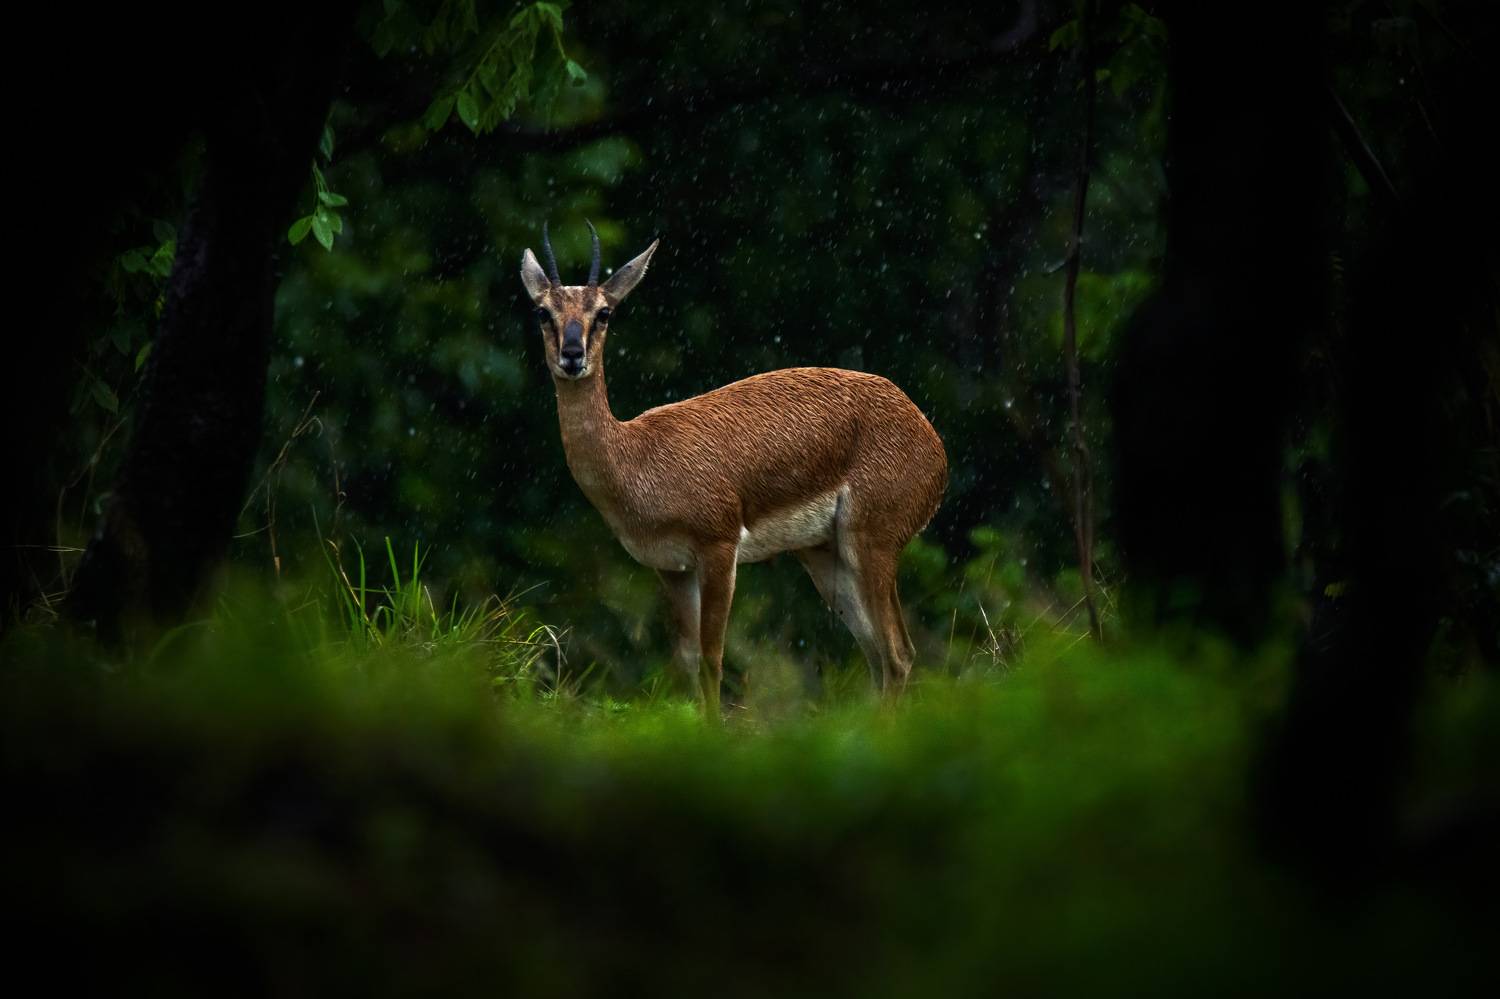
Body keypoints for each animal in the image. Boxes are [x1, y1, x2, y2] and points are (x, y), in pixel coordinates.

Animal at [520, 223, 947, 715]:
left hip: (871, 543)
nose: (572, 355)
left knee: (898, 653)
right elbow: (687, 660)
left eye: (604, 312)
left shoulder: (719, 549)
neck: (636, 456)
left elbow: (712, 659)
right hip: (826, 556)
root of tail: (931, 439)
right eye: (542, 311)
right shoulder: (673, 569)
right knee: (879, 655)